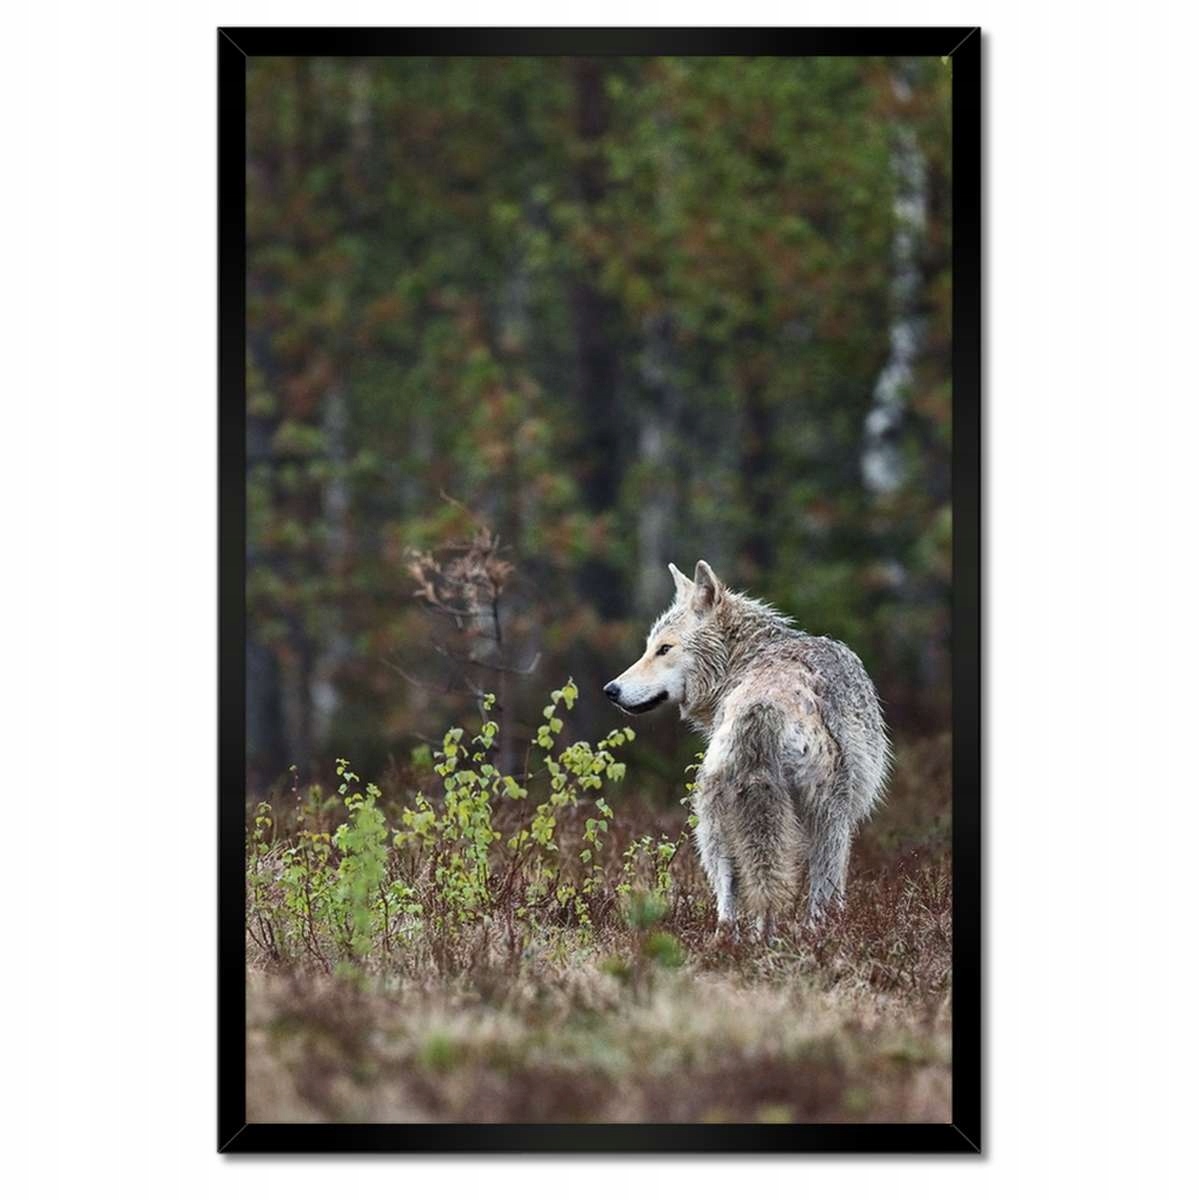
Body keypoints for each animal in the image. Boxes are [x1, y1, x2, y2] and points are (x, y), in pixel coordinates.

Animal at [603, 561, 889, 935]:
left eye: (663, 648)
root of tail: (762, 705)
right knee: (814, 894)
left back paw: (736, 940)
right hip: (825, 818)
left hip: (716, 820)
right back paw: (810, 936)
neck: (746, 657)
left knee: (731, 899)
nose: (610, 690)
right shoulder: (842, 819)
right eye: (651, 647)